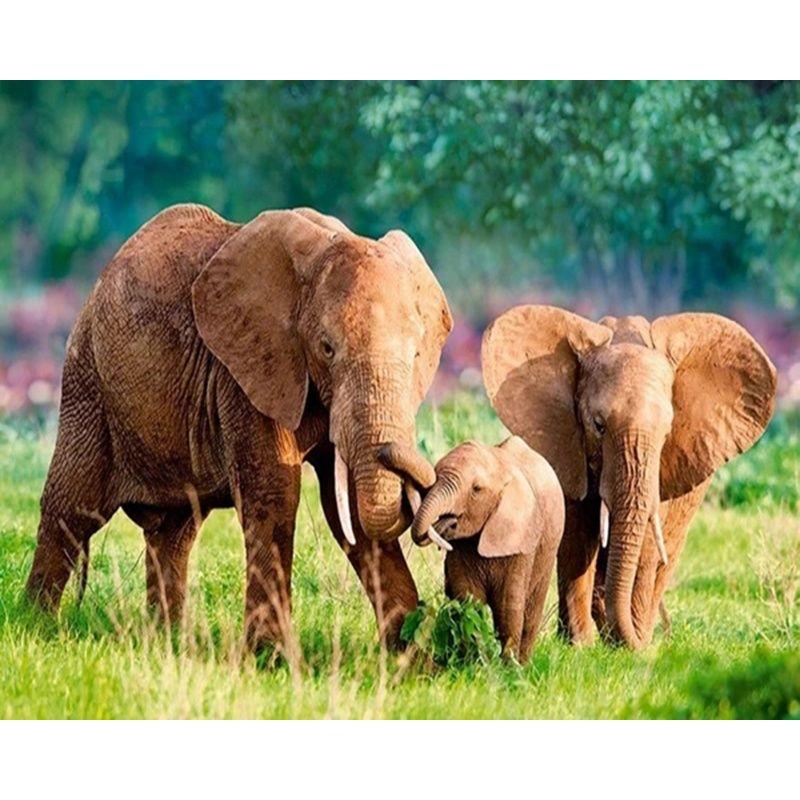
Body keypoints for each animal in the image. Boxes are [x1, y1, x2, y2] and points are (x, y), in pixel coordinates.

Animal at [25, 203, 452, 653]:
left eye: (417, 353)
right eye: (326, 348)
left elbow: (349, 507)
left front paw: (412, 656)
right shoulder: (246, 368)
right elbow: (276, 492)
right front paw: (271, 657)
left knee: (174, 531)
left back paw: (167, 641)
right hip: (87, 382)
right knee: (72, 507)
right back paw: (36, 624)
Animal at [402, 436, 565, 663]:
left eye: (476, 489)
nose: (445, 521)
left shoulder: (521, 538)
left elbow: (508, 606)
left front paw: (508, 667)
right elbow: (469, 599)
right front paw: (474, 662)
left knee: (531, 613)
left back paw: (524, 663)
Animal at [482, 307, 776, 650]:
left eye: (667, 432)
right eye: (598, 426)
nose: (658, 637)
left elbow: (647, 541)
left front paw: (633, 648)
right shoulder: (565, 446)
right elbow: (577, 534)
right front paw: (580, 646)